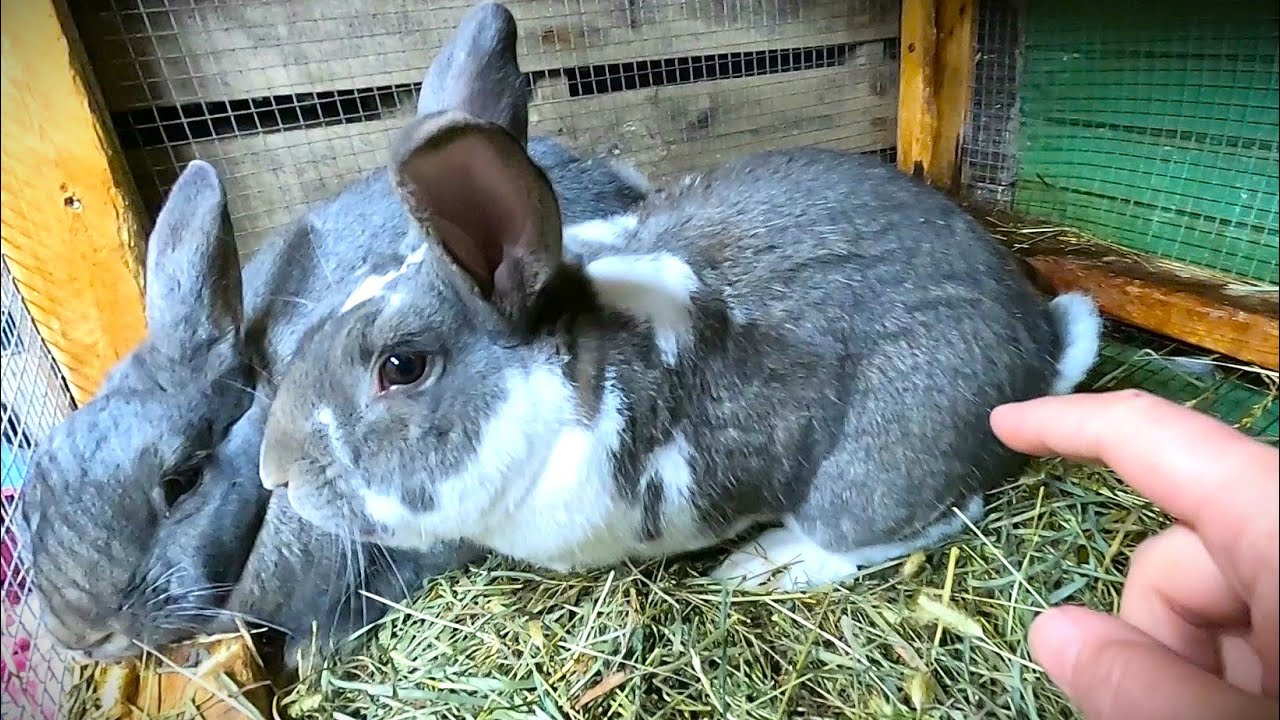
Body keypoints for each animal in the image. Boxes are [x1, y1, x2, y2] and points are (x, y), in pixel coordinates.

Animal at [257, 2, 1104, 592]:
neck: (568, 384)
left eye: (401, 367)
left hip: (871, 472)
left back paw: (767, 563)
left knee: (923, 519)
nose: (275, 475)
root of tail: (1039, 352)